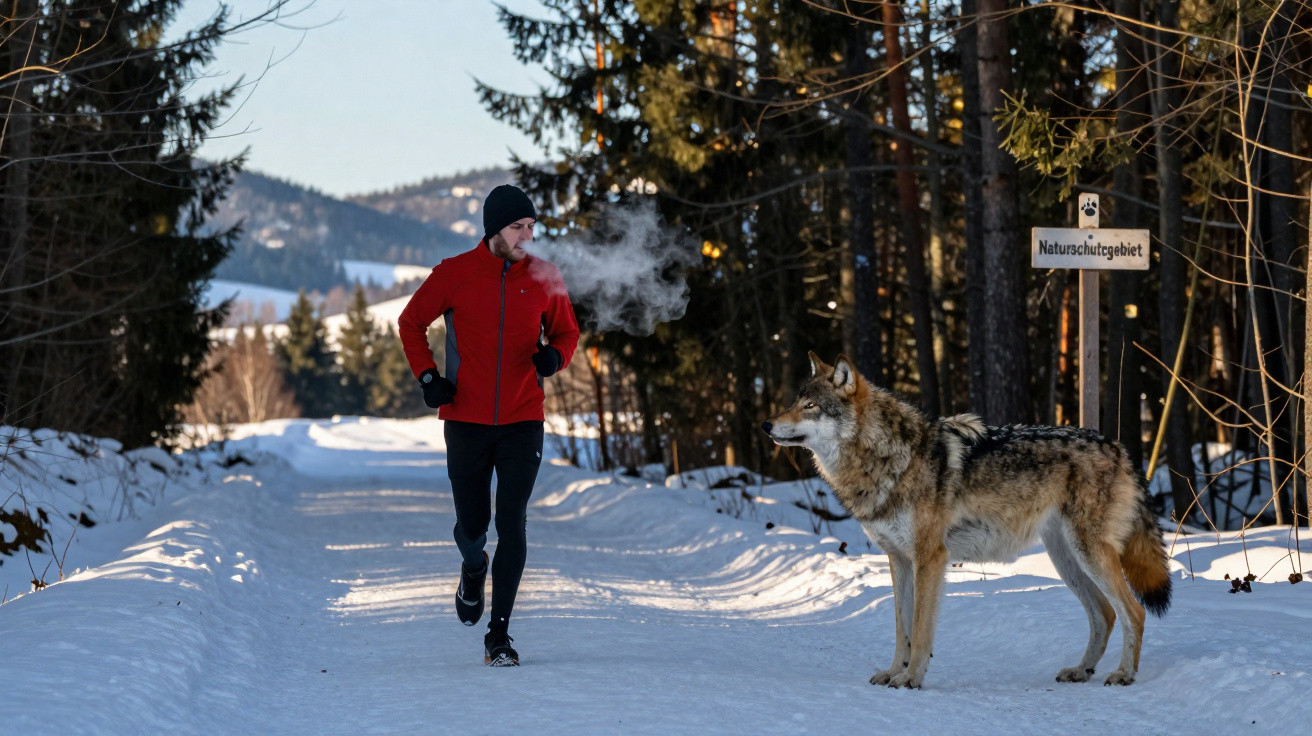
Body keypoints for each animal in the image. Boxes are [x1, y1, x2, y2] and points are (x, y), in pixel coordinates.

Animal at [762, 352, 1172, 689]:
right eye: (794, 402)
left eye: (811, 406)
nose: (766, 424)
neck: (892, 457)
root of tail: (1118, 447)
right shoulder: (899, 560)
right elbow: (901, 629)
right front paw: (894, 672)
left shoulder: (930, 558)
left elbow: (920, 629)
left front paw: (910, 679)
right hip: (1066, 559)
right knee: (1105, 614)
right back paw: (1081, 670)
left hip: (1087, 554)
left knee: (1133, 611)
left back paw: (1124, 674)